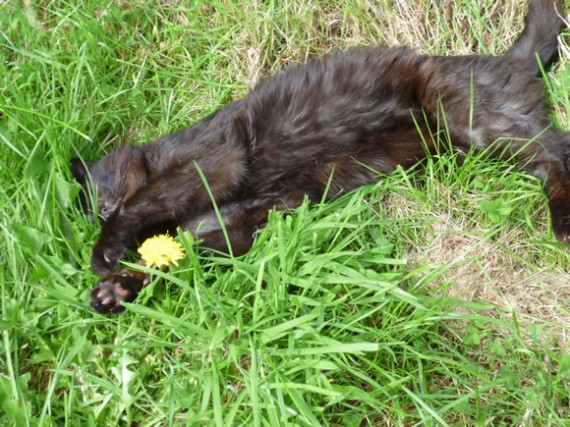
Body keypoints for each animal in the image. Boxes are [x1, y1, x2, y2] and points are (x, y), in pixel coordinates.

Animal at [73, 0, 564, 314]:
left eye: (99, 199)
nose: (102, 211)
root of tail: (510, 61)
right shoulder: (229, 226)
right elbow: (175, 259)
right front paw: (117, 290)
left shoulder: (211, 163)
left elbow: (145, 200)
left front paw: (105, 254)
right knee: (550, 152)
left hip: (469, 116)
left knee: (559, 151)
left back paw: (563, 225)